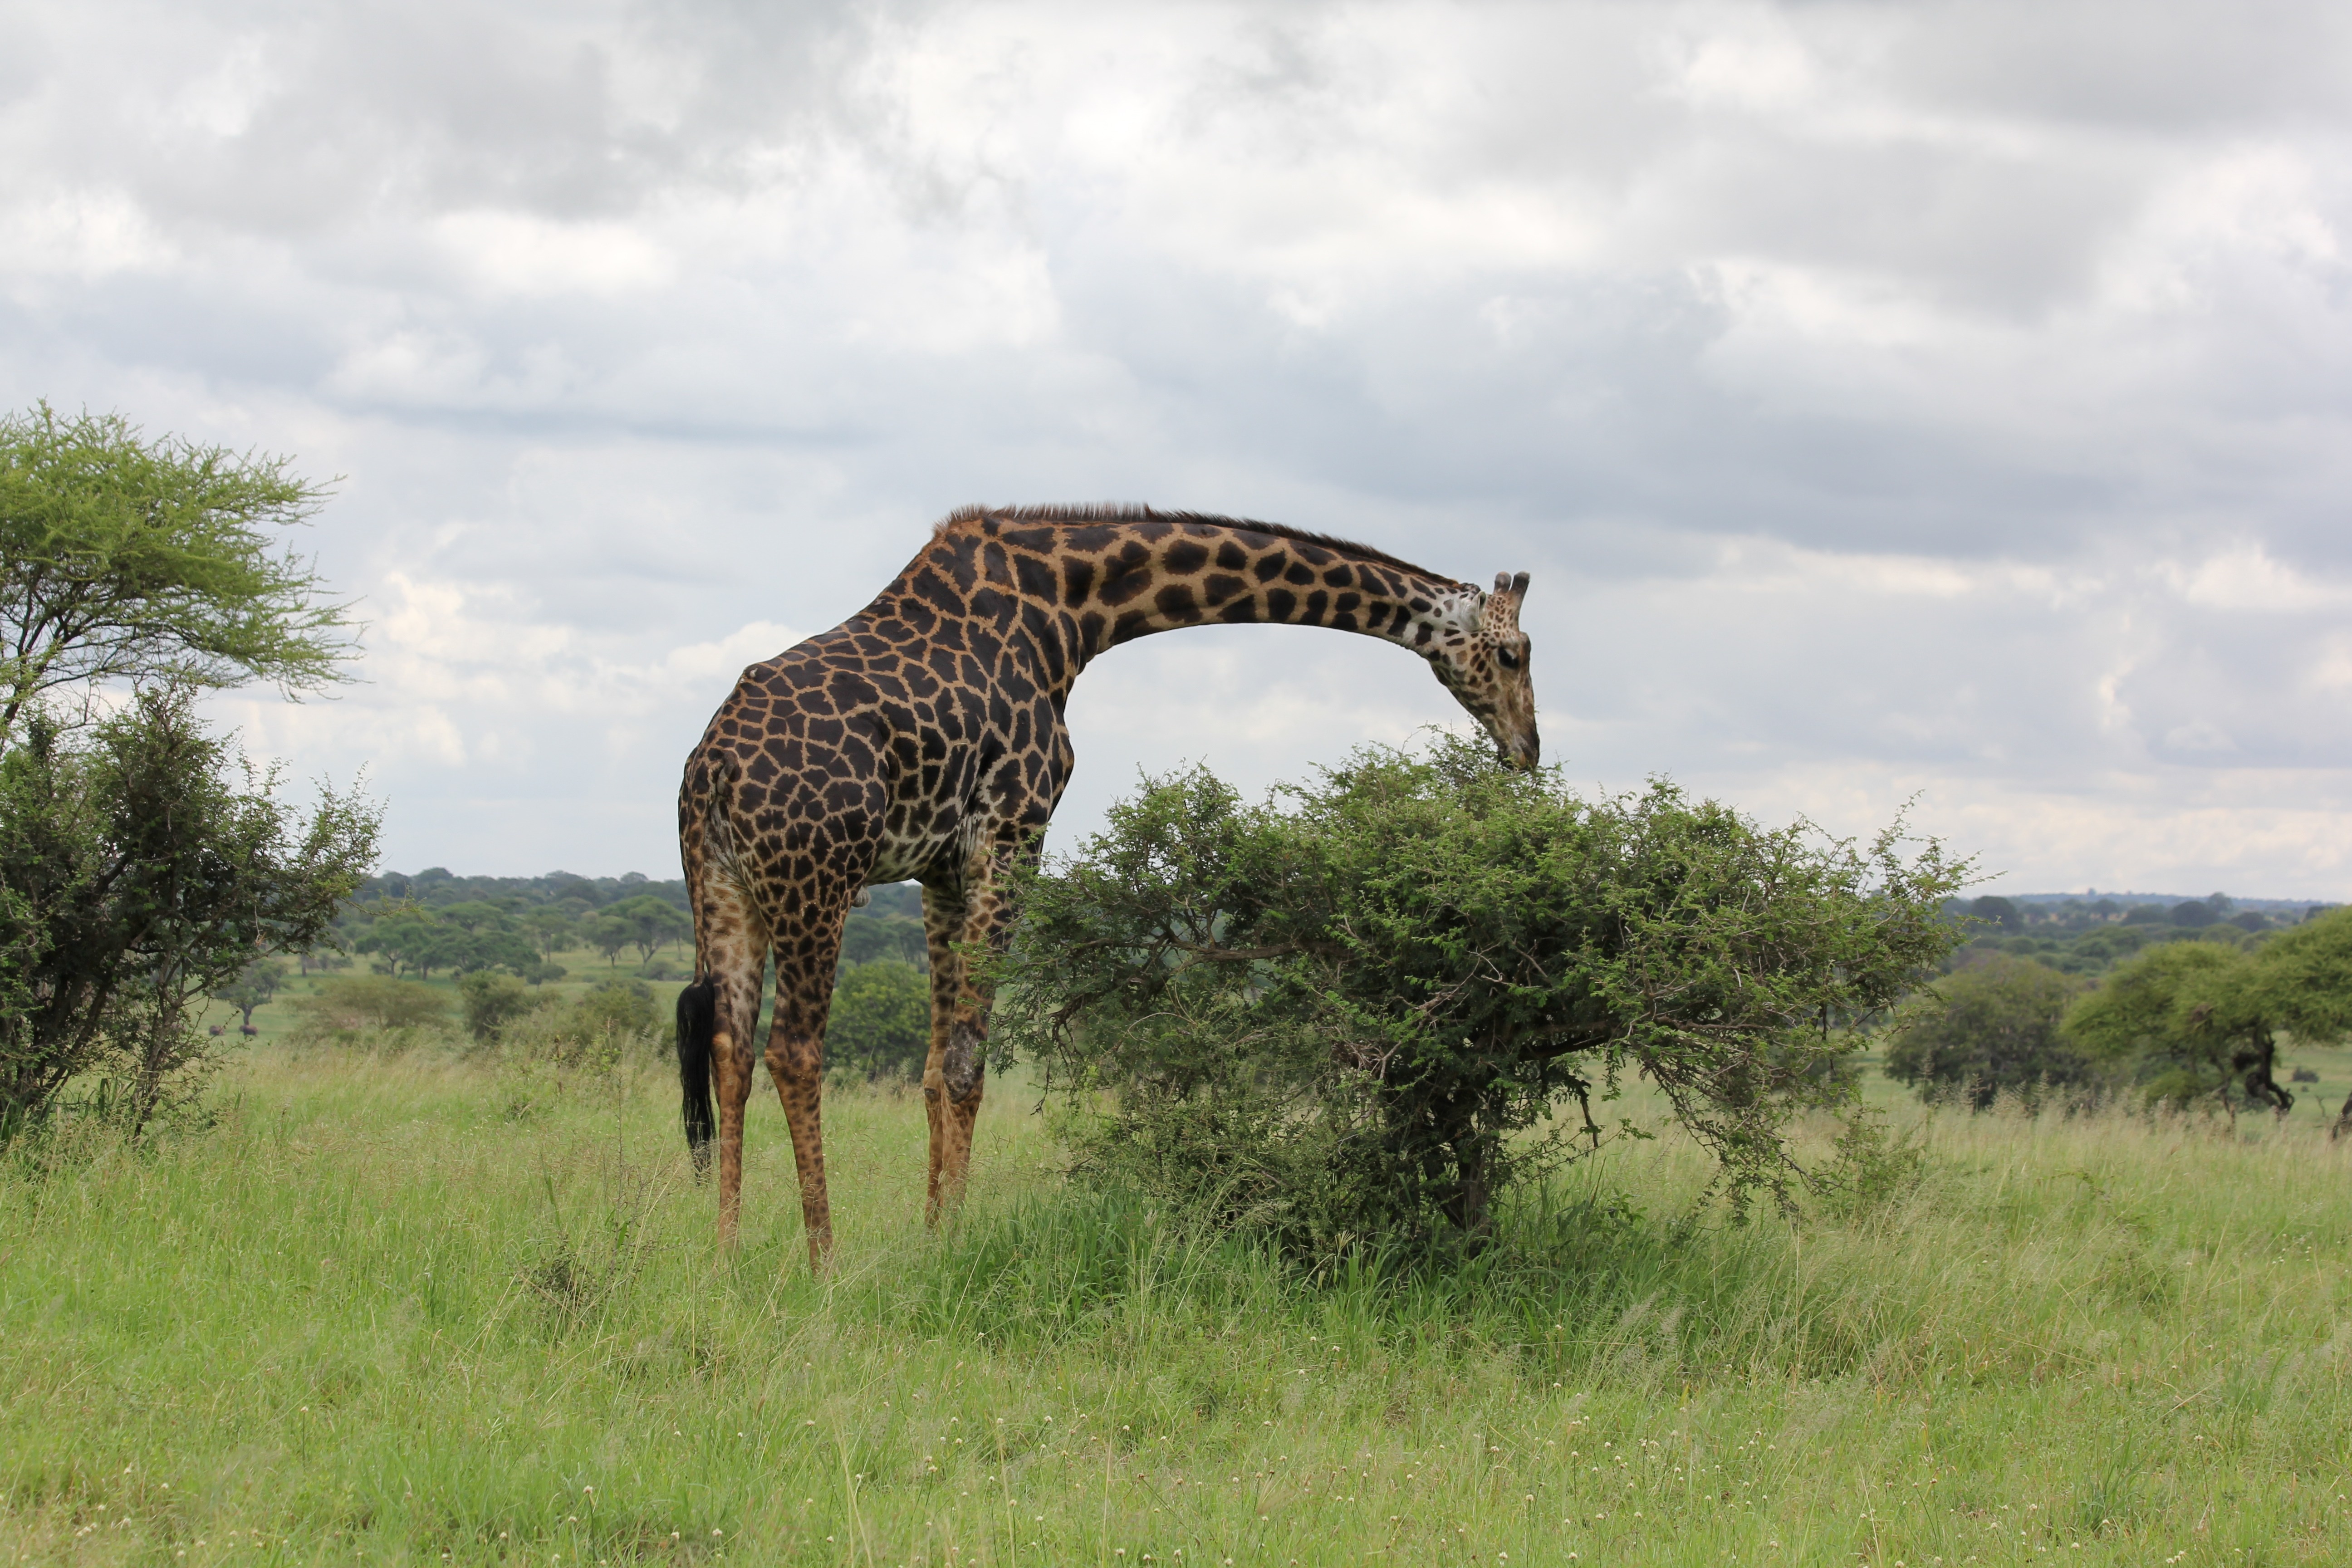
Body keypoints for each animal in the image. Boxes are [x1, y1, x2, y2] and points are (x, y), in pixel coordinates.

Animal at [672, 510, 1543, 1269]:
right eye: (1514, 653)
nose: (1528, 747)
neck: (1072, 613)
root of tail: (711, 768)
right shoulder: (1012, 831)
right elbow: (967, 1064)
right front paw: (953, 1245)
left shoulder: (941, 865)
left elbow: (931, 1067)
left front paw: (930, 1234)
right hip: (817, 882)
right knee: (793, 1050)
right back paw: (822, 1261)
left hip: (723, 886)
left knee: (729, 1046)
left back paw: (725, 1255)